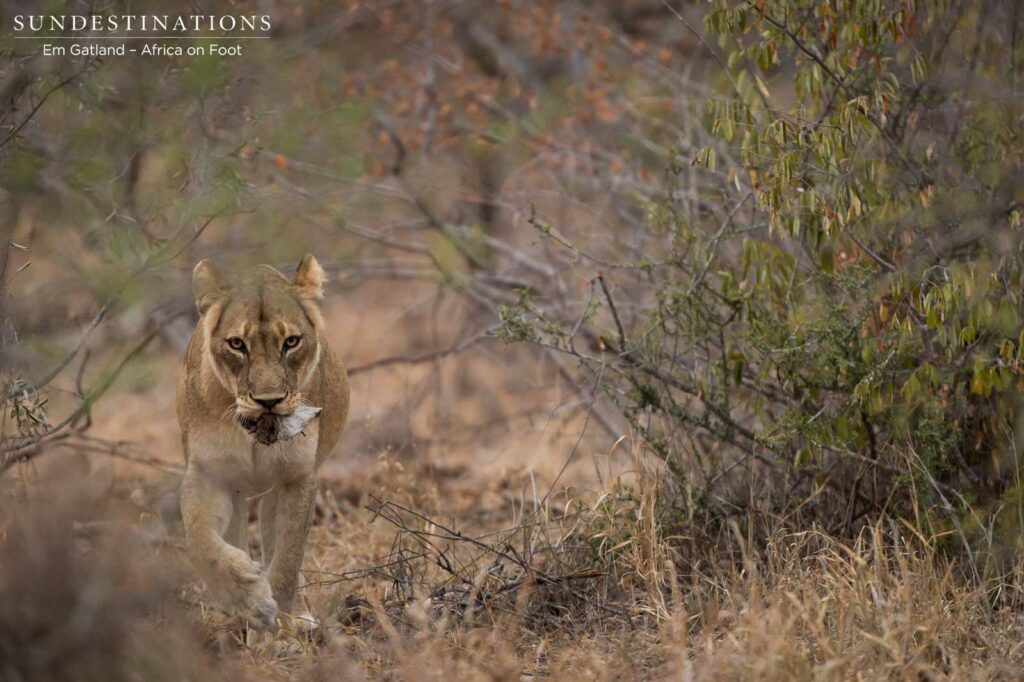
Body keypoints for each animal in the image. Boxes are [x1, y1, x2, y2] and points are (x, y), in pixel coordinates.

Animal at [176, 254, 349, 631]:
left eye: (292, 342)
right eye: (237, 344)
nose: (269, 401)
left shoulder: (296, 478)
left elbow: (286, 559)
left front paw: (283, 623)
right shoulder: (208, 474)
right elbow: (199, 540)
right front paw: (248, 599)